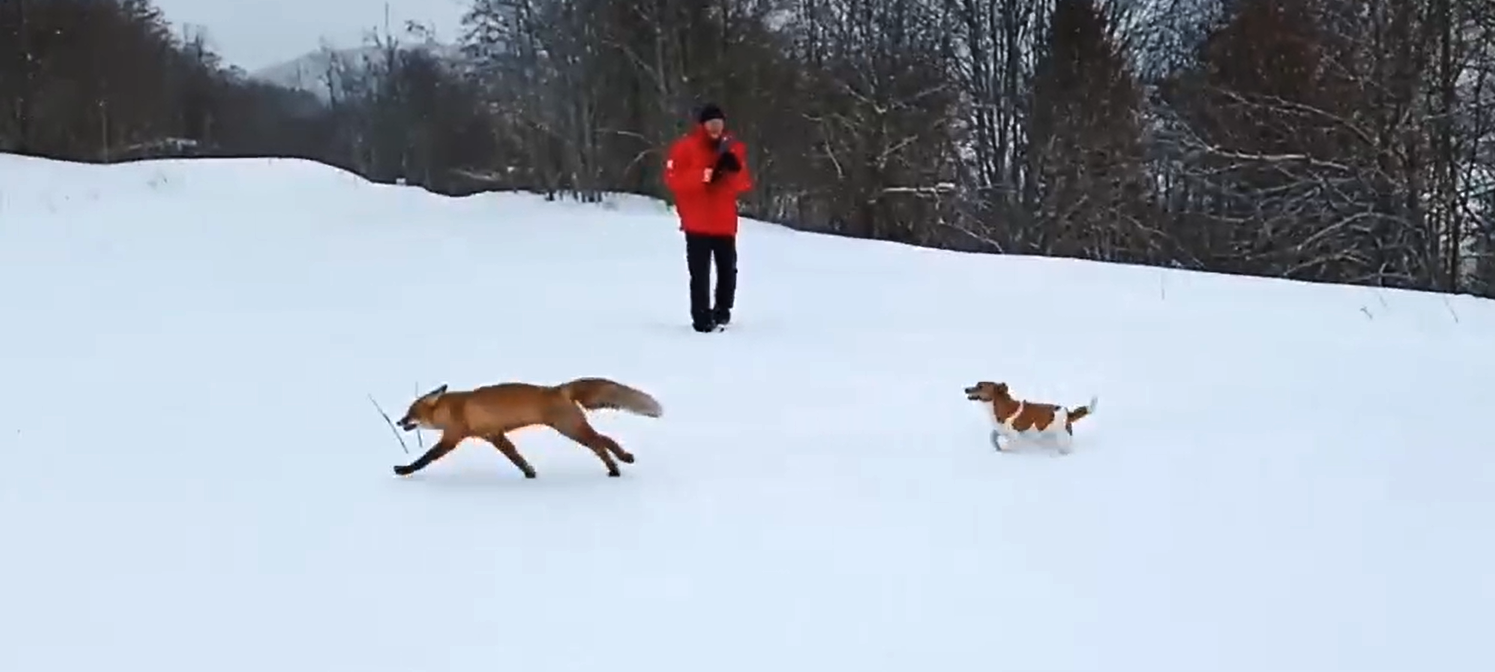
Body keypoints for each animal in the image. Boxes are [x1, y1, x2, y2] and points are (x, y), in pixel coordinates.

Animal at [394, 374, 663, 478]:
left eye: (410, 414)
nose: (398, 422)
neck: (450, 409)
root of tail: (559, 388)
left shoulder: (452, 438)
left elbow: (426, 458)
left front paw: (404, 469)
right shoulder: (495, 436)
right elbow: (517, 458)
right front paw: (530, 474)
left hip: (570, 429)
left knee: (599, 443)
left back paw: (615, 468)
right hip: (573, 428)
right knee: (605, 439)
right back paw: (625, 458)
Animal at [962, 380, 1094, 451]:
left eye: (980, 386)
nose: (966, 389)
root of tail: (1067, 413)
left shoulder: (1014, 435)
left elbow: (1011, 446)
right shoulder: (1001, 430)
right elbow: (993, 436)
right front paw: (997, 448)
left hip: (1061, 438)